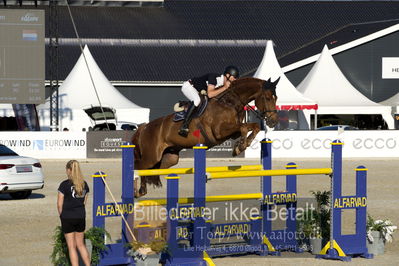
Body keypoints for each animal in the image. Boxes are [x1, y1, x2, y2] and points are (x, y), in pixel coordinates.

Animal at [133, 76, 280, 196]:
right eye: (268, 98)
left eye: (276, 98)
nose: (273, 121)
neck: (230, 102)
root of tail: (144, 127)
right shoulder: (220, 131)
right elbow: (244, 128)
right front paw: (240, 147)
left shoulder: (232, 132)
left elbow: (253, 127)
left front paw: (242, 145)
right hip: (152, 156)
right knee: (138, 166)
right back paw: (137, 191)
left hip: (169, 158)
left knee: (149, 170)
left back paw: (141, 191)